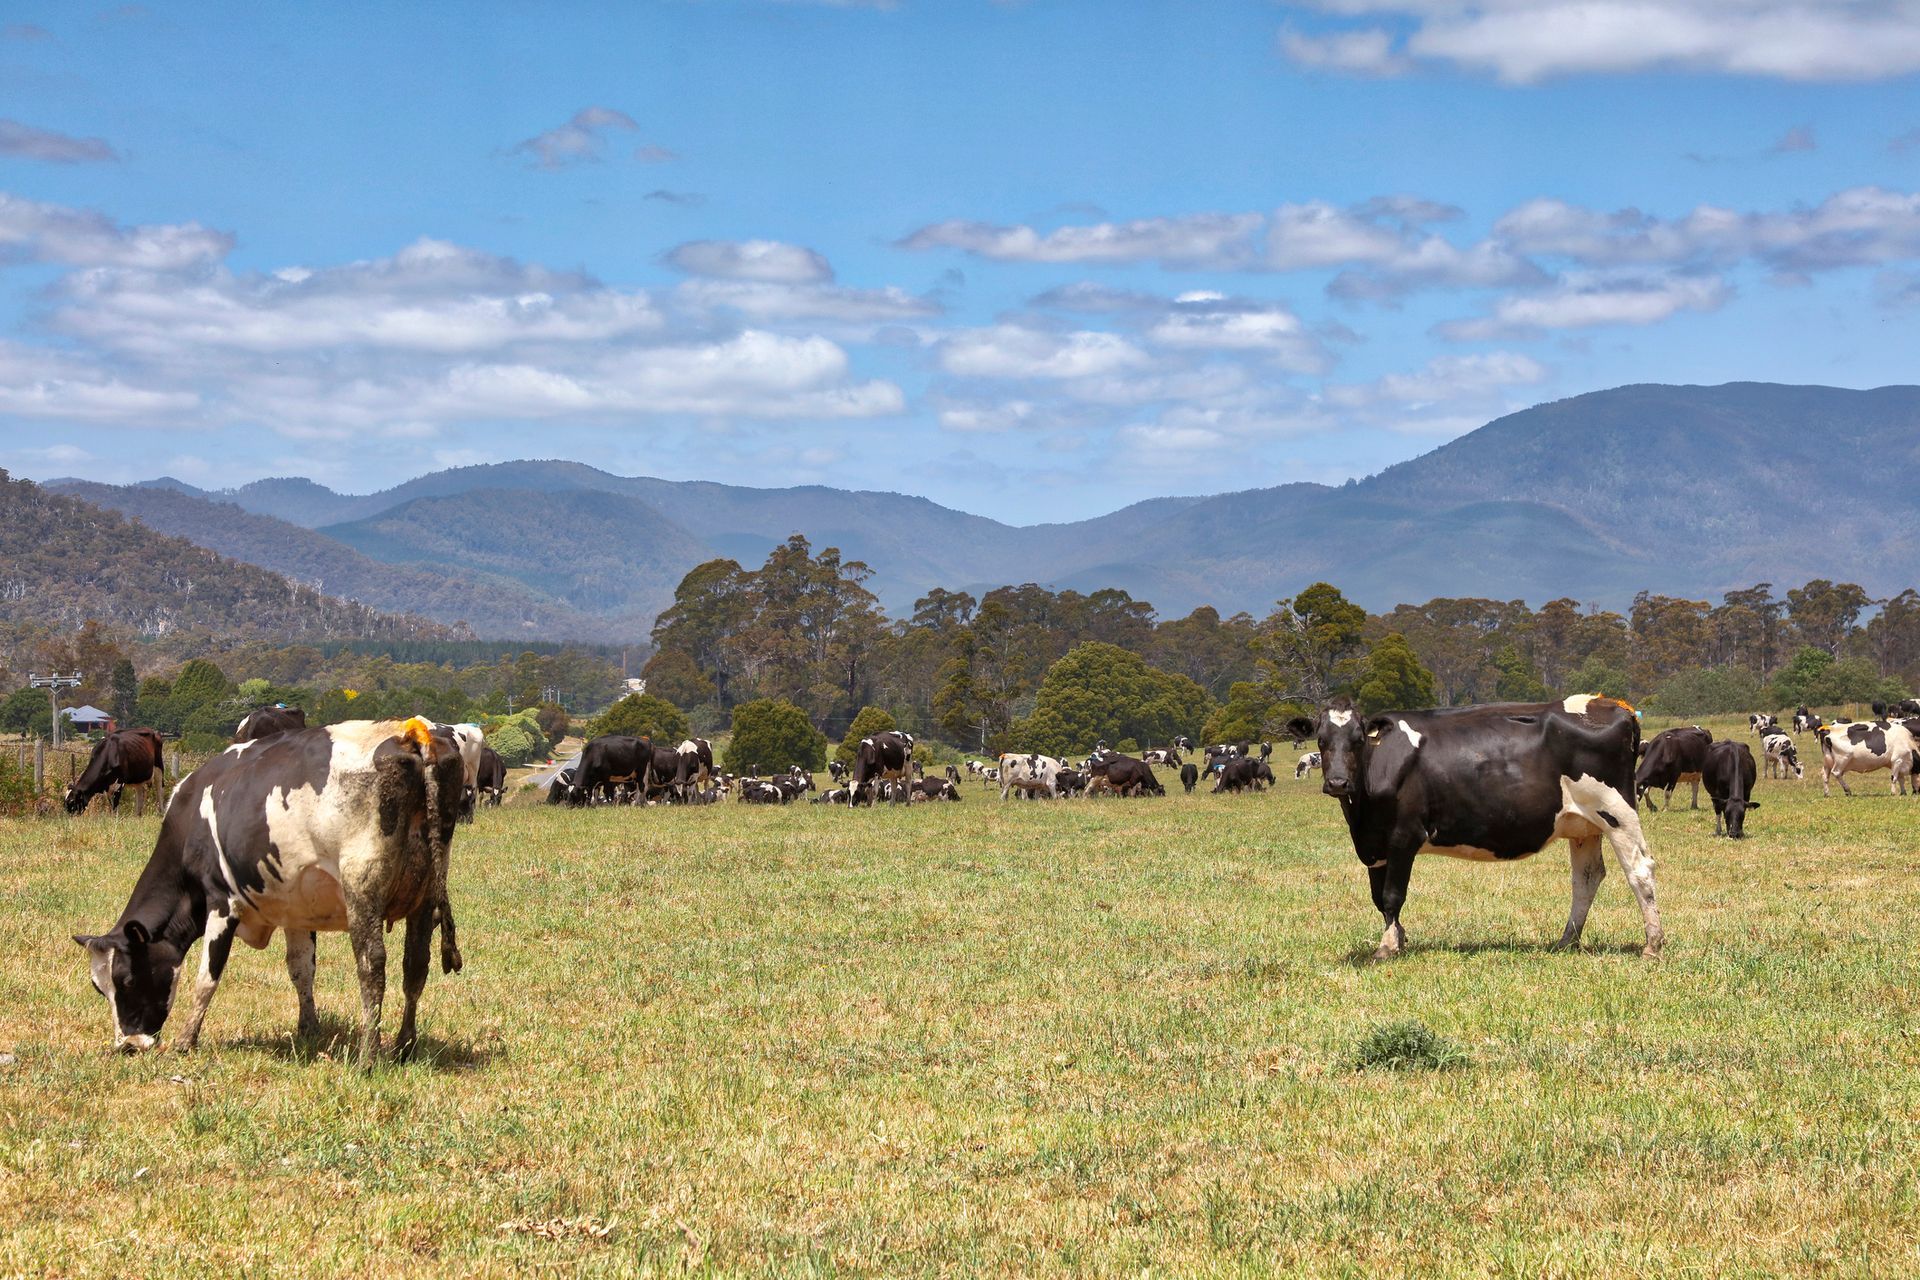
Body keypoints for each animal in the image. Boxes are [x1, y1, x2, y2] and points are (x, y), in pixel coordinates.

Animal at [72, 718, 464, 1061]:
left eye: (124, 980)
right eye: (98, 987)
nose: (128, 1045)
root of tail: (411, 733)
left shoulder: (222, 903)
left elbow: (207, 977)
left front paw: (186, 1040)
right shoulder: (297, 908)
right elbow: (301, 969)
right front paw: (308, 1028)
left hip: (361, 889)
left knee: (372, 966)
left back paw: (368, 1057)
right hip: (426, 894)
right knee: (416, 965)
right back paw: (404, 1047)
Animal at [1284, 694, 1661, 960]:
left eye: (1359, 739)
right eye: (1321, 740)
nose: (1337, 783)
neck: (1362, 815)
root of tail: (1615, 707)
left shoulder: (1404, 836)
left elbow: (1392, 896)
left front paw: (1388, 946)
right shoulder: (1375, 846)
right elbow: (1379, 899)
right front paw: (1399, 938)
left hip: (1617, 813)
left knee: (1639, 871)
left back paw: (1652, 945)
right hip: (1585, 824)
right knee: (1586, 879)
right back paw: (1567, 941)